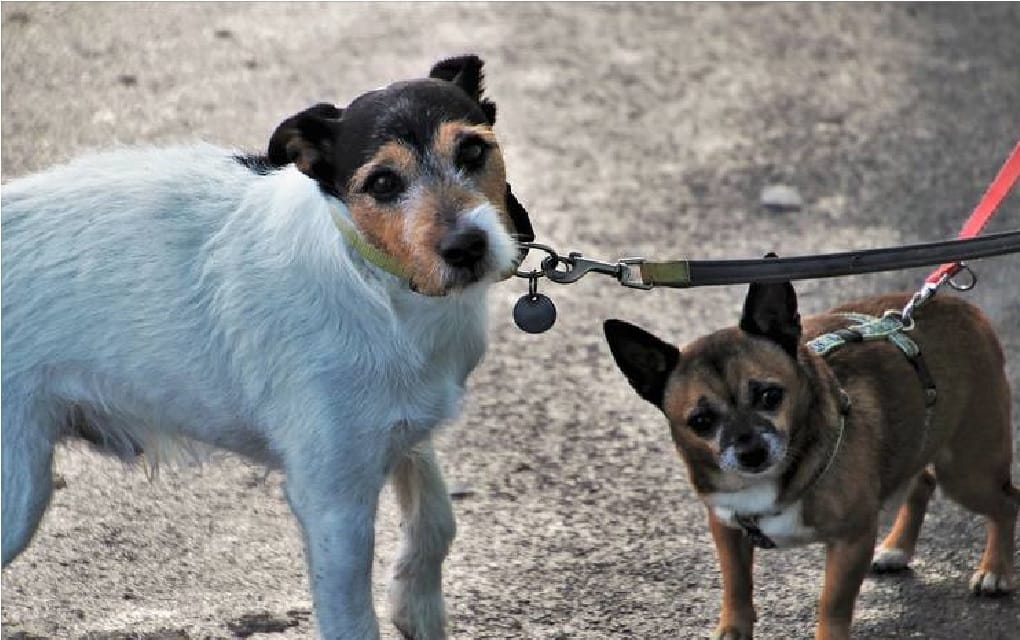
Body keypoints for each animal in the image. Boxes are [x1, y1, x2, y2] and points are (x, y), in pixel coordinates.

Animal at [1, 54, 534, 640]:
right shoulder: (333, 501)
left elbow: (436, 517)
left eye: (472, 151)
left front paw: (417, 603)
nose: (467, 247)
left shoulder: (400, 431)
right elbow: (353, 620)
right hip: (16, 492)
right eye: (383, 182)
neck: (377, 281)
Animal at [604, 281, 1017, 640]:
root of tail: (962, 306)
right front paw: (732, 630)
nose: (751, 452)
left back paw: (995, 570)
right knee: (922, 480)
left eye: (770, 396)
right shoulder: (726, 528)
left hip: (968, 473)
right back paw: (898, 548)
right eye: (701, 421)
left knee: (1006, 501)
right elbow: (736, 586)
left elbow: (832, 604)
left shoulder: (851, 540)